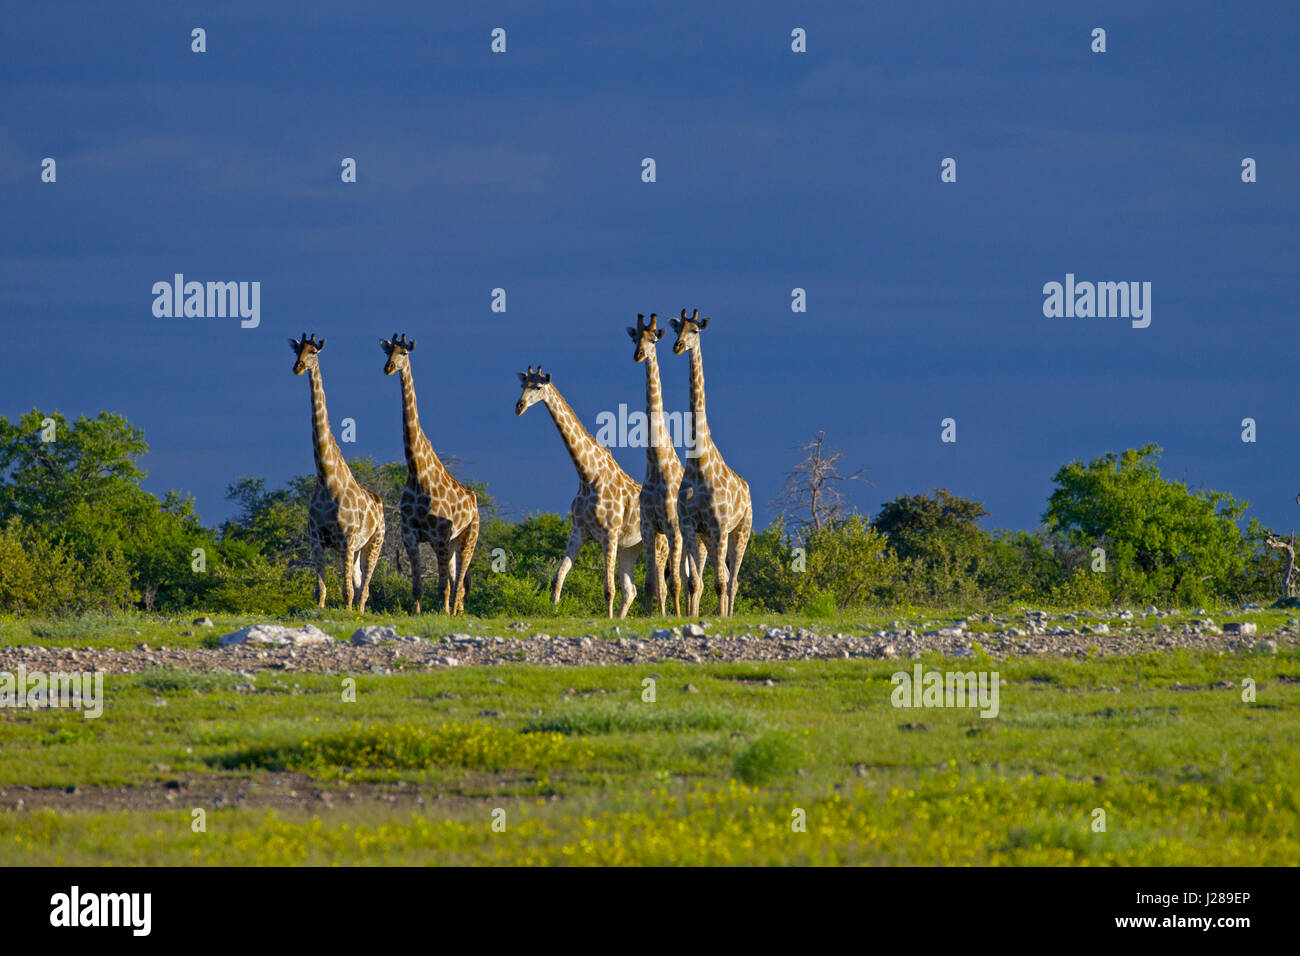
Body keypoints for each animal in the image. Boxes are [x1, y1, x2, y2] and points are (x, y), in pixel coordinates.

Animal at [287, 332, 382, 608]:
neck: (326, 477)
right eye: (296, 350)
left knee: (365, 587)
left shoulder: (346, 540)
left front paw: (348, 612)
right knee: (360, 583)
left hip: (375, 542)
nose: (298, 367)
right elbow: (321, 589)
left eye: (313, 351)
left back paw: (359, 611)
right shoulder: (316, 538)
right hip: (358, 548)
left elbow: (346, 590)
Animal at [379, 332, 483, 613]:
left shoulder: (439, 535)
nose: (388, 368)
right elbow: (417, 584)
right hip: (453, 542)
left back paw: (455, 611)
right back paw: (457, 611)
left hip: (468, 535)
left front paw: (443, 613)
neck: (417, 472)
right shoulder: (410, 535)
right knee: (457, 579)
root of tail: (474, 500)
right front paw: (417, 613)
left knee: (459, 581)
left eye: (404, 353)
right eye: (388, 352)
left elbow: (443, 585)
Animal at [512, 366, 665, 621]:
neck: (587, 475)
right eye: (522, 385)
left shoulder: (609, 534)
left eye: (539, 386)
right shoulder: (579, 532)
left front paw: (608, 619)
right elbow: (558, 578)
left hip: (658, 543)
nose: (519, 406)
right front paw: (554, 612)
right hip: (630, 548)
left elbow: (608, 589)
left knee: (661, 585)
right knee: (631, 590)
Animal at [626, 310, 707, 616]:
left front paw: (671, 616)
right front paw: (652, 617)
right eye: (635, 338)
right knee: (683, 577)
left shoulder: (673, 528)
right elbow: (651, 583)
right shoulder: (649, 528)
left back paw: (692, 612)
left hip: (694, 540)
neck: (657, 465)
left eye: (653, 339)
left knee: (693, 581)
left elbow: (673, 584)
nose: (638, 354)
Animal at [670, 310, 754, 616]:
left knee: (733, 580)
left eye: (695, 330)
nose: (678, 346)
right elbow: (695, 583)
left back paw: (728, 615)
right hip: (708, 537)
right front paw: (691, 616)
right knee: (725, 577)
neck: (699, 463)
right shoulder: (690, 527)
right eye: (676, 330)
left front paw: (719, 618)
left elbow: (718, 583)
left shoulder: (719, 527)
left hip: (741, 531)